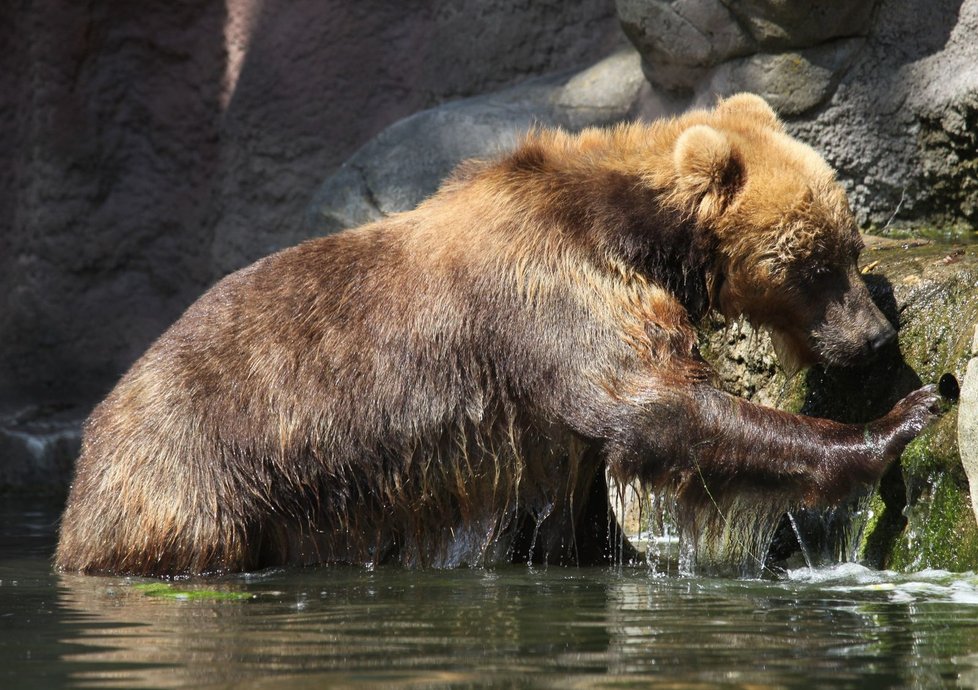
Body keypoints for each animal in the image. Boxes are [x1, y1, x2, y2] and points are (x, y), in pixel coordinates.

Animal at [53, 92, 936, 576]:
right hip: (196, 476)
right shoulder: (553, 297)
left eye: (849, 244)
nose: (873, 339)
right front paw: (898, 422)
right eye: (810, 261)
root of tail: (92, 438)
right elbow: (659, 409)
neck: (639, 237)